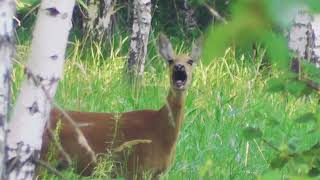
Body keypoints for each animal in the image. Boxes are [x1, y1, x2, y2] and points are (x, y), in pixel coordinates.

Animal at [40, 33, 202, 179]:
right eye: (170, 60)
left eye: (190, 61)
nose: (179, 67)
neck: (162, 131)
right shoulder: (138, 168)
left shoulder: (155, 173)